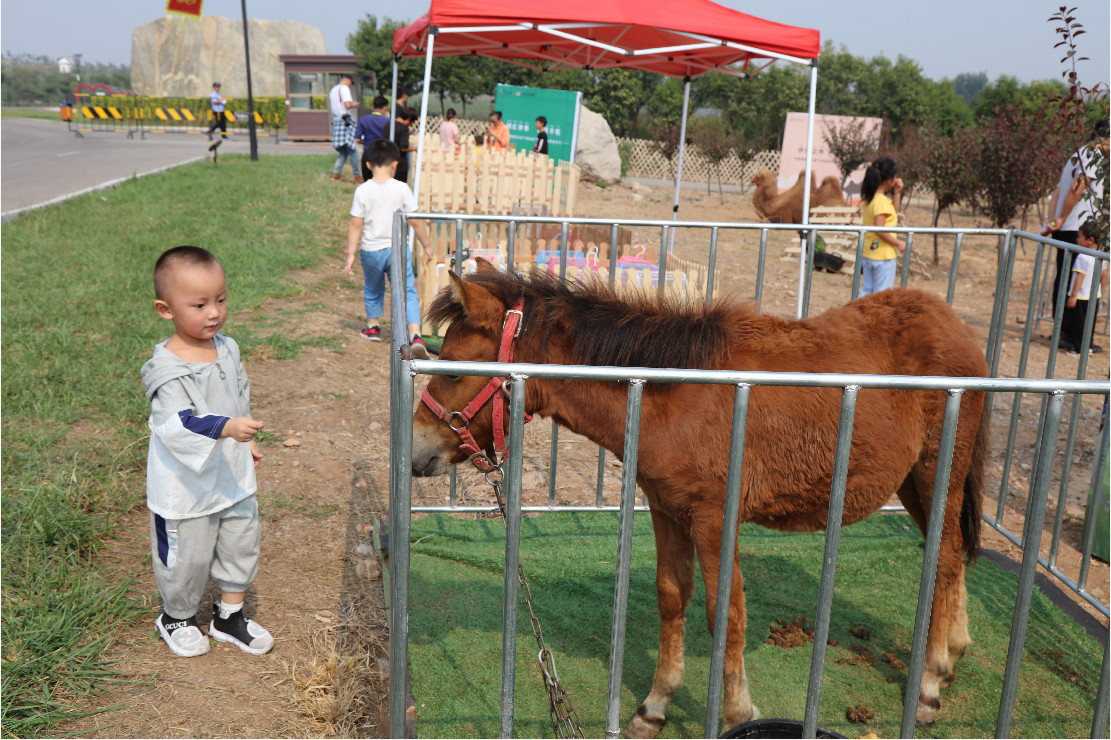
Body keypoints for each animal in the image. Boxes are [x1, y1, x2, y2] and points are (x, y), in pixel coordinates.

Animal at [408, 261, 991, 733]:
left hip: (938, 471)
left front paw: (736, 713)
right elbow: (673, 597)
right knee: (950, 553)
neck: (672, 393)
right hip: (914, 482)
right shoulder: (668, 510)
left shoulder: (715, 519)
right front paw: (654, 707)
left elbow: (724, 613)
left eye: (454, 369)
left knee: (944, 559)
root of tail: (955, 325)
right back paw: (952, 655)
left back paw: (929, 687)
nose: (416, 452)